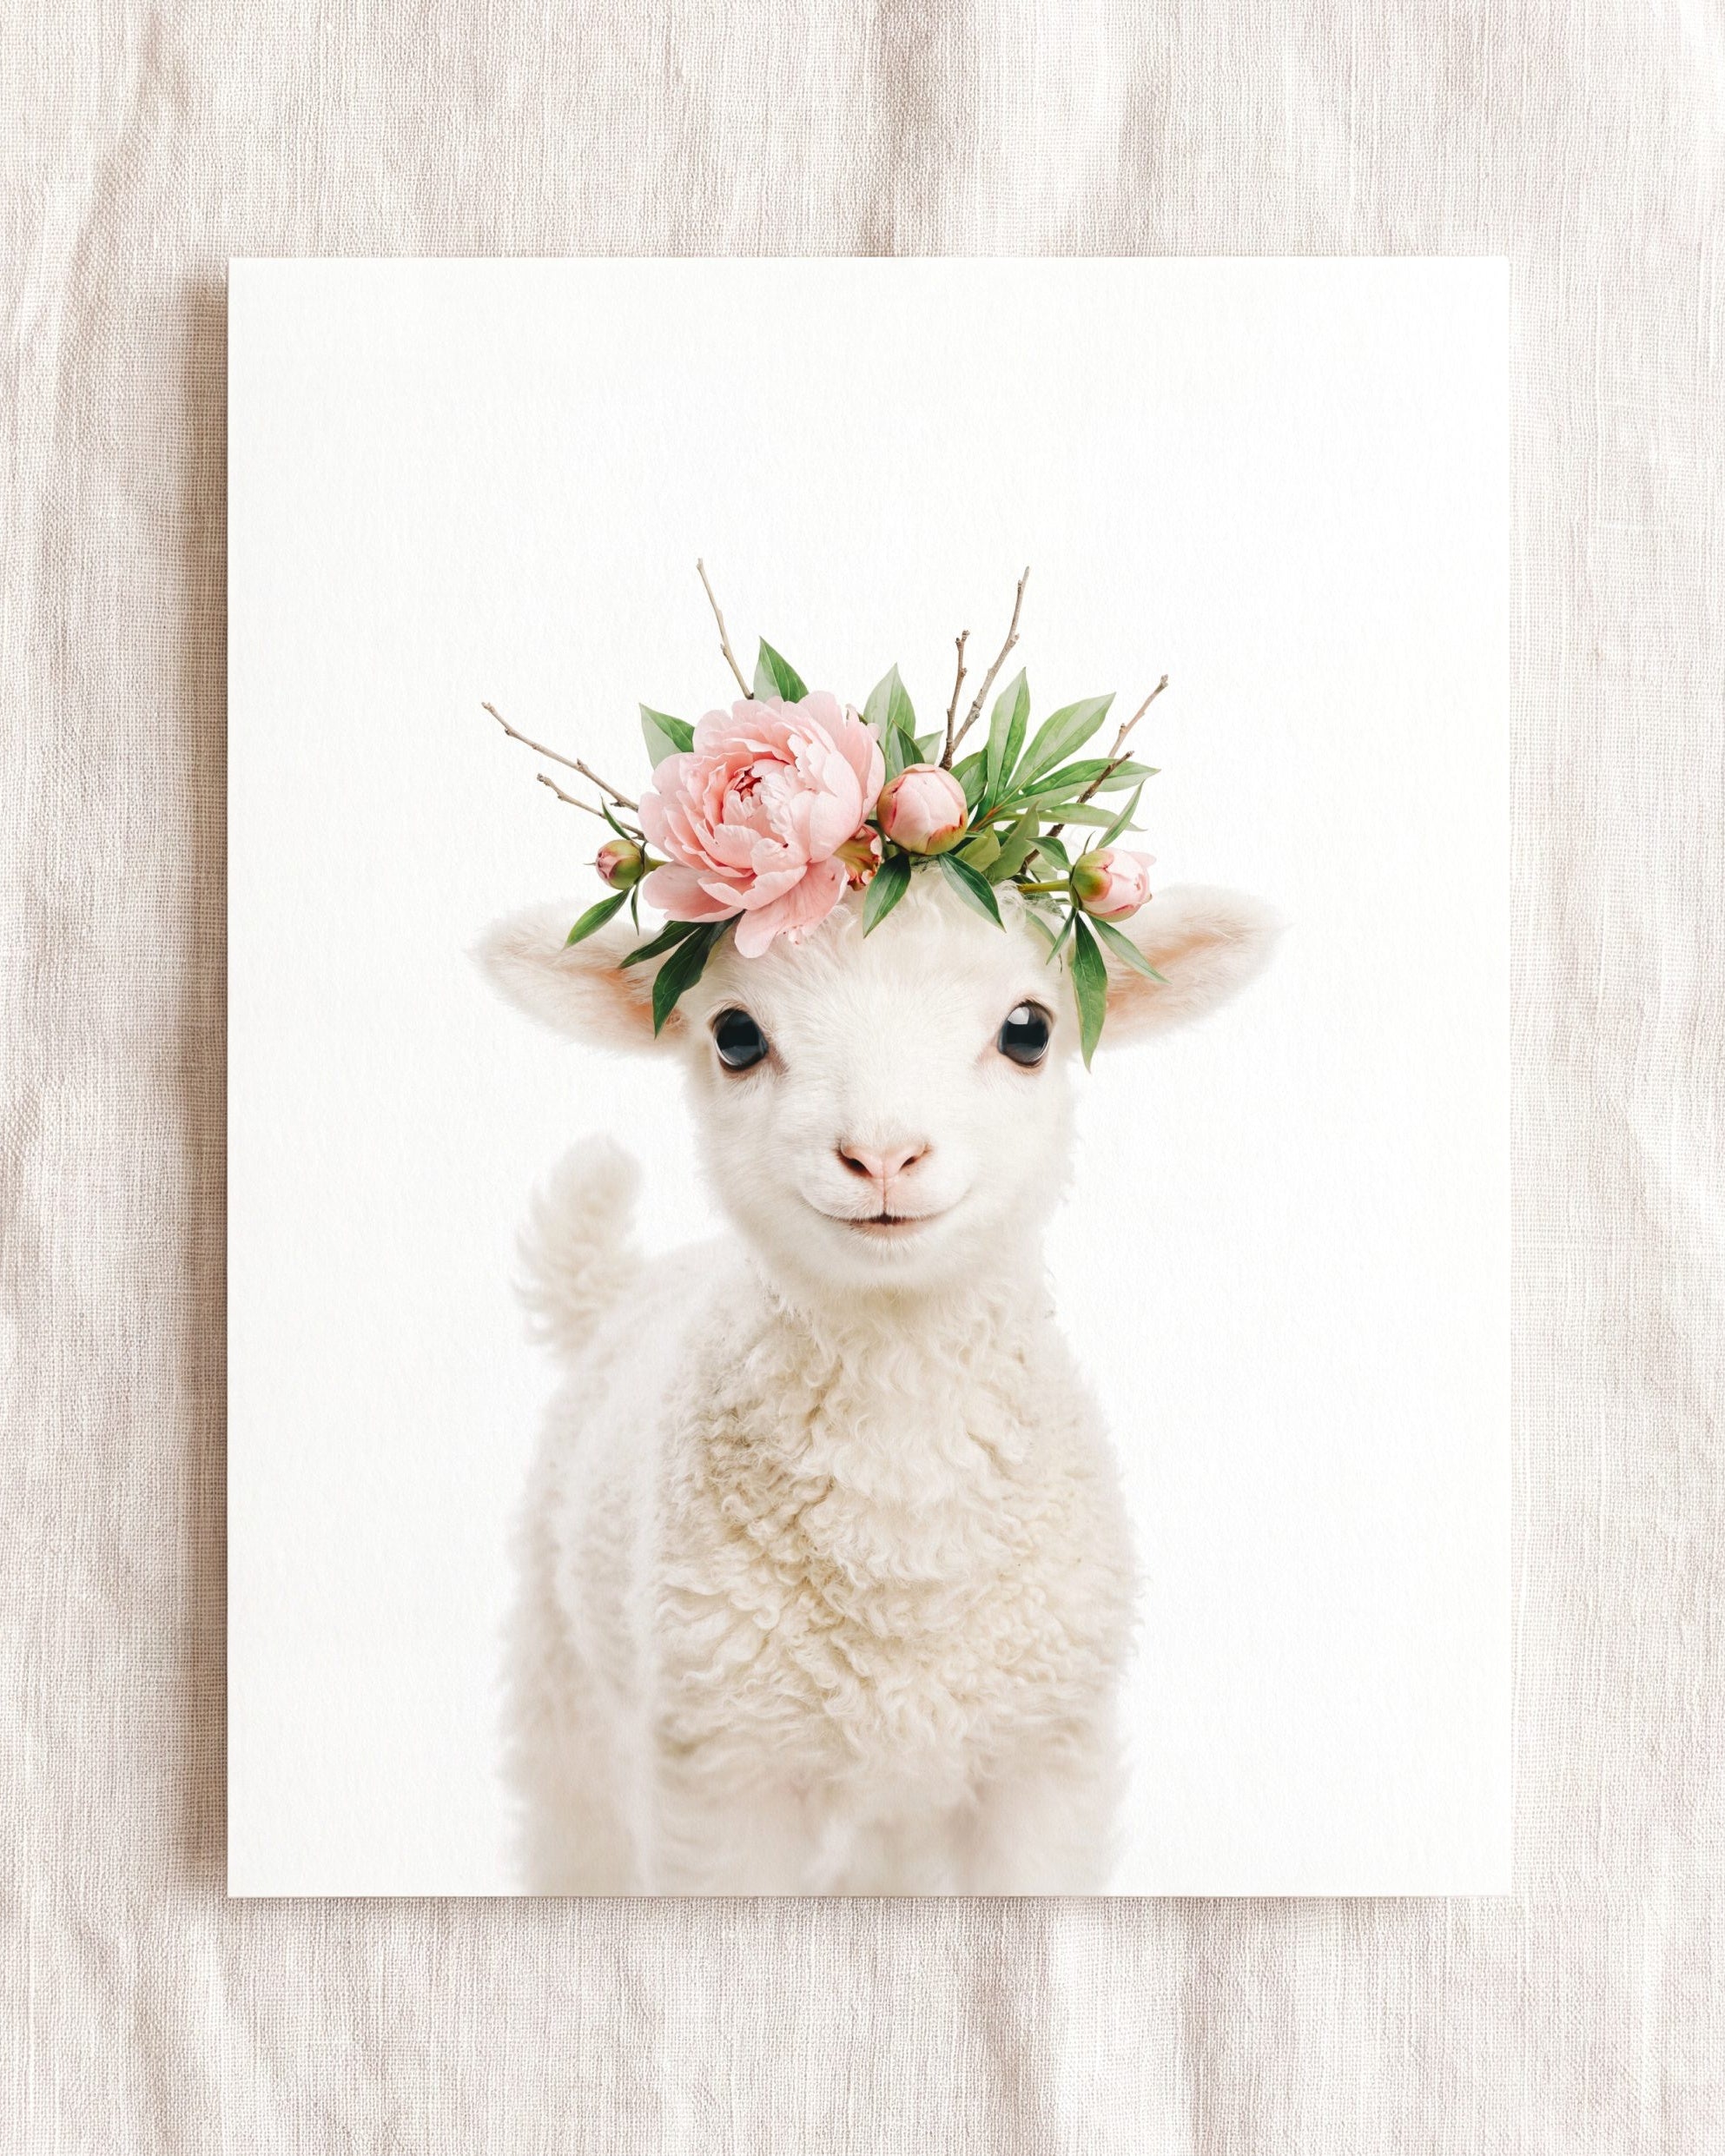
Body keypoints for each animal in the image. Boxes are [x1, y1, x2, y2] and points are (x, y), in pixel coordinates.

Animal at [480, 873, 1275, 1893]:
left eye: (1029, 1030)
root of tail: (618, 1289)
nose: (884, 1155)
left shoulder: (1044, 1758)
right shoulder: (723, 1771)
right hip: (568, 1695)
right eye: (736, 1036)